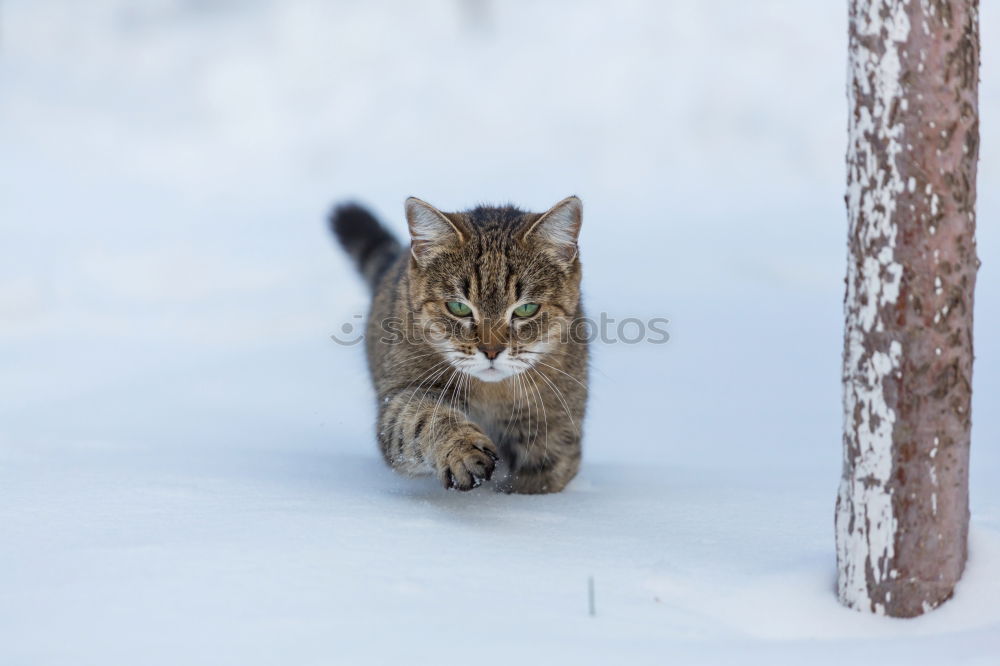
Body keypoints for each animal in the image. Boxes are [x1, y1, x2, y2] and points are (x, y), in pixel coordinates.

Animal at [332, 195, 588, 490]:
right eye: (458, 307)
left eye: (526, 309)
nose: (491, 351)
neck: (493, 394)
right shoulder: (401, 394)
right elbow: (421, 418)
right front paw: (461, 449)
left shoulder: (554, 433)